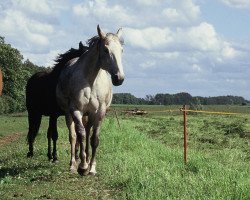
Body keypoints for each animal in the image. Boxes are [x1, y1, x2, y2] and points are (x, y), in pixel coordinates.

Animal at [55, 25, 124, 175]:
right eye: (106, 50)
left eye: (121, 50)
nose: (119, 78)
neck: (91, 81)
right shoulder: (76, 110)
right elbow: (80, 135)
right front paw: (82, 166)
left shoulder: (99, 112)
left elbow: (94, 139)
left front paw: (91, 167)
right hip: (69, 114)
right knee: (73, 136)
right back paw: (73, 164)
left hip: (90, 115)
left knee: (87, 133)